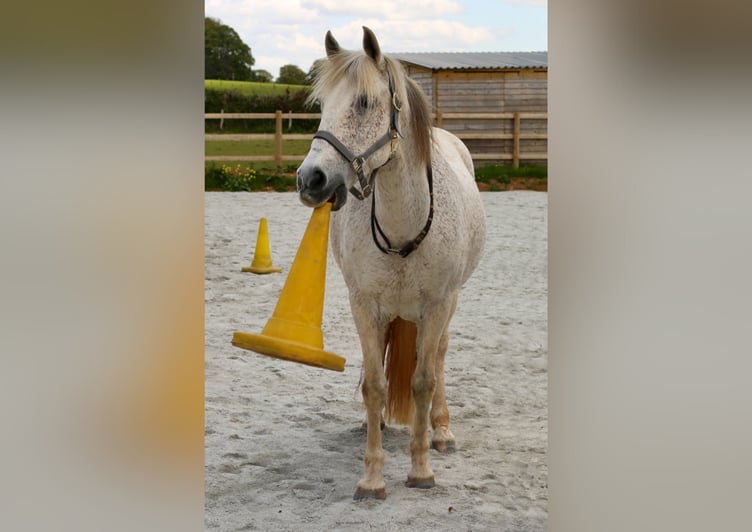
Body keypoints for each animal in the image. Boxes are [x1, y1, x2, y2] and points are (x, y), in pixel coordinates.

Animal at [297, 27, 487, 500]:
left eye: (365, 102)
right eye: (322, 104)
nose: (310, 179)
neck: (404, 226)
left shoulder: (437, 305)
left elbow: (422, 380)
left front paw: (420, 470)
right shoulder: (365, 306)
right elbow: (375, 384)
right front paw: (372, 477)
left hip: (449, 305)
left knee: (439, 357)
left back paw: (441, 432)